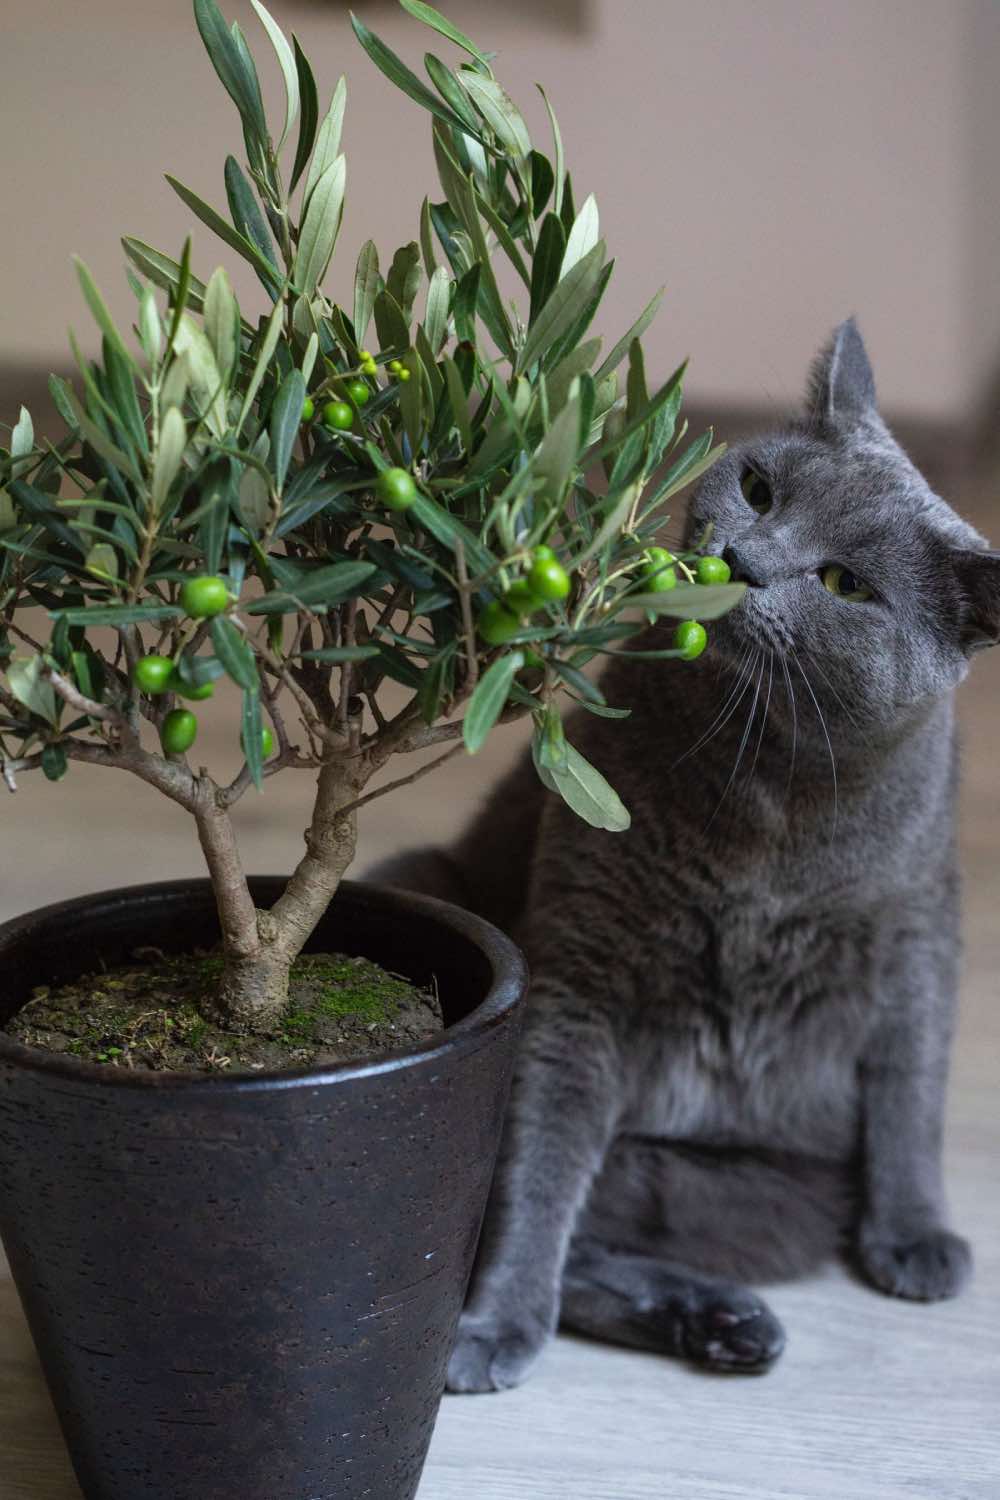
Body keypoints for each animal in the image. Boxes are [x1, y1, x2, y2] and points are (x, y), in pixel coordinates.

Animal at [371, 319, 995, 1392]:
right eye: (759, 488)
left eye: (845, 584)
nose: (741, 557)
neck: (766, 787)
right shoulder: (580, 968)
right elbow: (536, 1170)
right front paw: (498, 1321)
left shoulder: (919, 932)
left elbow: (913, 1088)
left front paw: (916, 1236)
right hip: (421, 883)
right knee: (533, 1222)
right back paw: (690, 1323)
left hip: (772, 1196)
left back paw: (726, 1323)